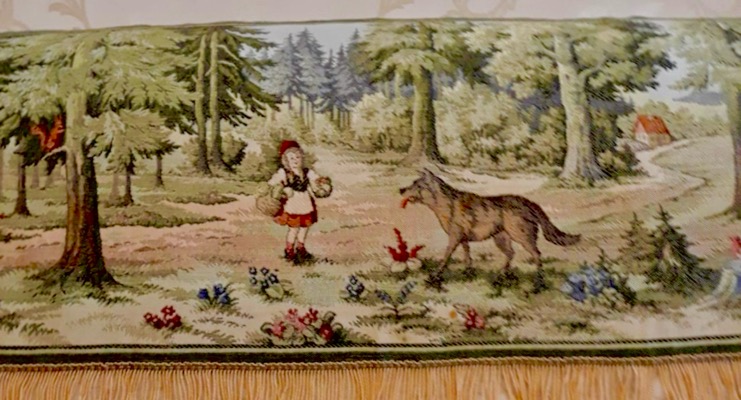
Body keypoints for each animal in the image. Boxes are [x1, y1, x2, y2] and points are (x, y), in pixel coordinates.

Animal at [399, 169, 580, 276]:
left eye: (416, 185)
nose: (401, 189)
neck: (445, 202)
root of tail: (529, 203)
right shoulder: (463, 239)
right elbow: (467, 256)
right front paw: (468, 271)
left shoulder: (454, 237)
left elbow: (446, 255)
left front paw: (437, 274)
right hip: (501, 238)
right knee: (511, 254)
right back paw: (503, 273)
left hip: (522, 236)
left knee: (536, 254)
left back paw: (538, 280)